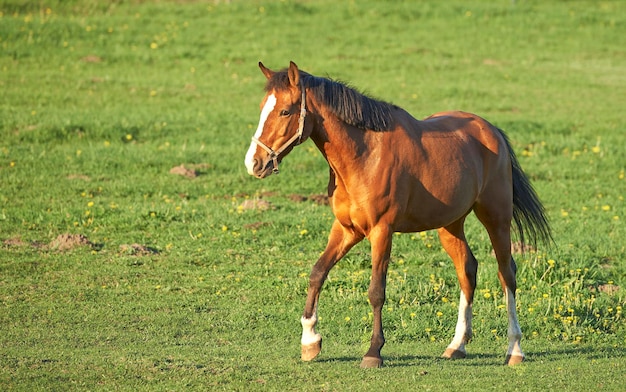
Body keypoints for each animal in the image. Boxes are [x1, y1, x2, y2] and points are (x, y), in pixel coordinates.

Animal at [245, 60, 552, 368]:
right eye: (261, 107)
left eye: (285, 111)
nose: (254, 163)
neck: (365, 155)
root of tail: (491, 130)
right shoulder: (346, 229)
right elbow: (318, 272)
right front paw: (310, 341)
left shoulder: (382, 231)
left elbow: (376, 291)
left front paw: (373, 352)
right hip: (450, 224)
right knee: (467, 270)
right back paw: (457, 345)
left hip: (496, 218)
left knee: (506, 273)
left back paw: (514, 349)